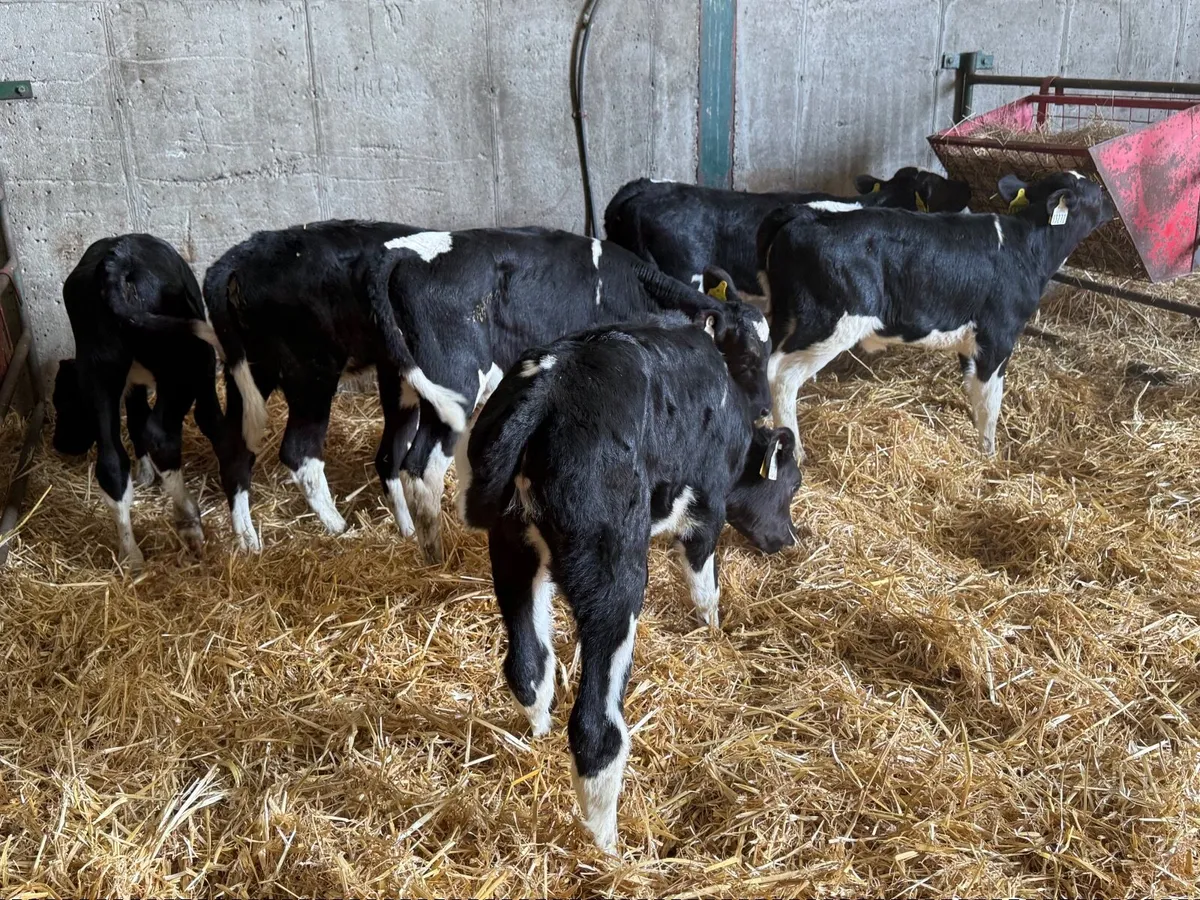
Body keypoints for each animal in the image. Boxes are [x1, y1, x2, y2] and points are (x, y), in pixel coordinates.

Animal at [51, 234, 223, 567]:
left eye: (64, 404)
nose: (59, 445)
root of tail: (116, 259)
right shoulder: (203, 367)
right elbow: (210, 419)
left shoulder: (130, 385)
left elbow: (135, 420)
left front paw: (145, 474)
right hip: (185, 364)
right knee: (161, 435)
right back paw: (188, 519)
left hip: (99, 370)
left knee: (112, 463)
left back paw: (131, 557)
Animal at [203, 221, 772, 563]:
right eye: (745, 357)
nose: (765, 412)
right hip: (338, 374)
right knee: (346, 456)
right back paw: (390, 541)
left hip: (268, 373)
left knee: (246, 447)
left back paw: (253, 539)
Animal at [455, 316, 802, 853]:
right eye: (791, 485)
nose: (788, 540)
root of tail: (548, 387)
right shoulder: (706, 507)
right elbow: (704, 580)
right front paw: (713, 628)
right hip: (614, 579)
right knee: (596, 730)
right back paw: (609, 849)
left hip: (512, 547)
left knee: (528, 667)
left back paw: (538, 738)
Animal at [760, 170, 1115, 461]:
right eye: (1096, 193)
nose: (1112, 204)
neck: (1027, 247)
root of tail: (805, 214)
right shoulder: (998, 337)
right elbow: (991, 401)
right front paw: (989, 455)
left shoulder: (971, 340)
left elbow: (974, 390)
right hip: (830, 323)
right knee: (782, 375)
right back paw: (796, 450)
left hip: (784, 315)